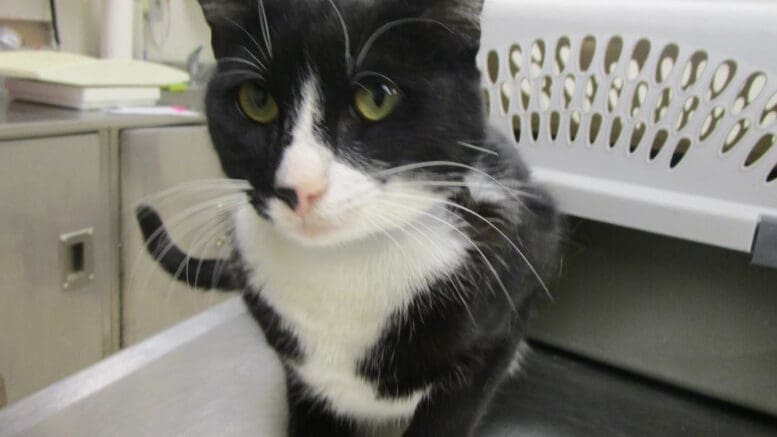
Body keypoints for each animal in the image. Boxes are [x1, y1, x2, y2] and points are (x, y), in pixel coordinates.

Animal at [135, 0, 556, 436]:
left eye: (376, 98)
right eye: (256, 99)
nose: (299, 187)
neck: (342, 264)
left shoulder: (517, 276)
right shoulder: (302, 375)